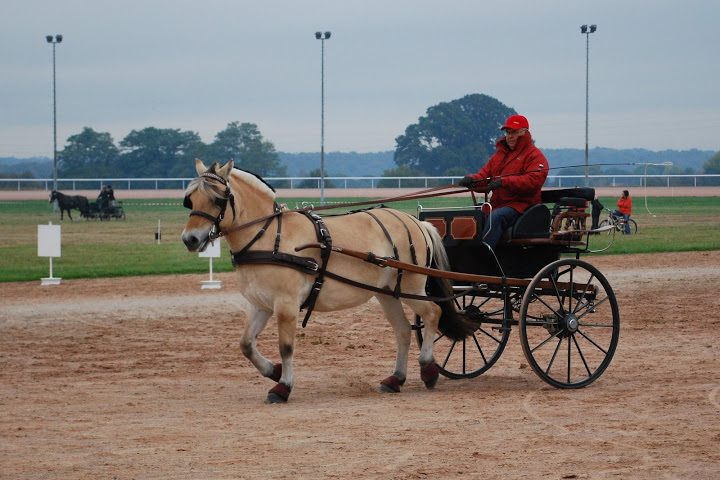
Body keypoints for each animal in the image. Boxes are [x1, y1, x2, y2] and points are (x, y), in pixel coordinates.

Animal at [181, 159, 472, 404]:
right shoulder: (260, 305)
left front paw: (283, 386)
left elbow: (286, 346)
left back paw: (428, 368)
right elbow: (246, 345)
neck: (268, 237)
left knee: (432, 313)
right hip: (388, 292)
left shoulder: (286, 305)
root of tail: (416, 222)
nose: (190, 239)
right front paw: (273, 370)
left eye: (218, 199)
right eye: (190, 199)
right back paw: (395, 379)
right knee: (403, 330)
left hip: (412, 287)